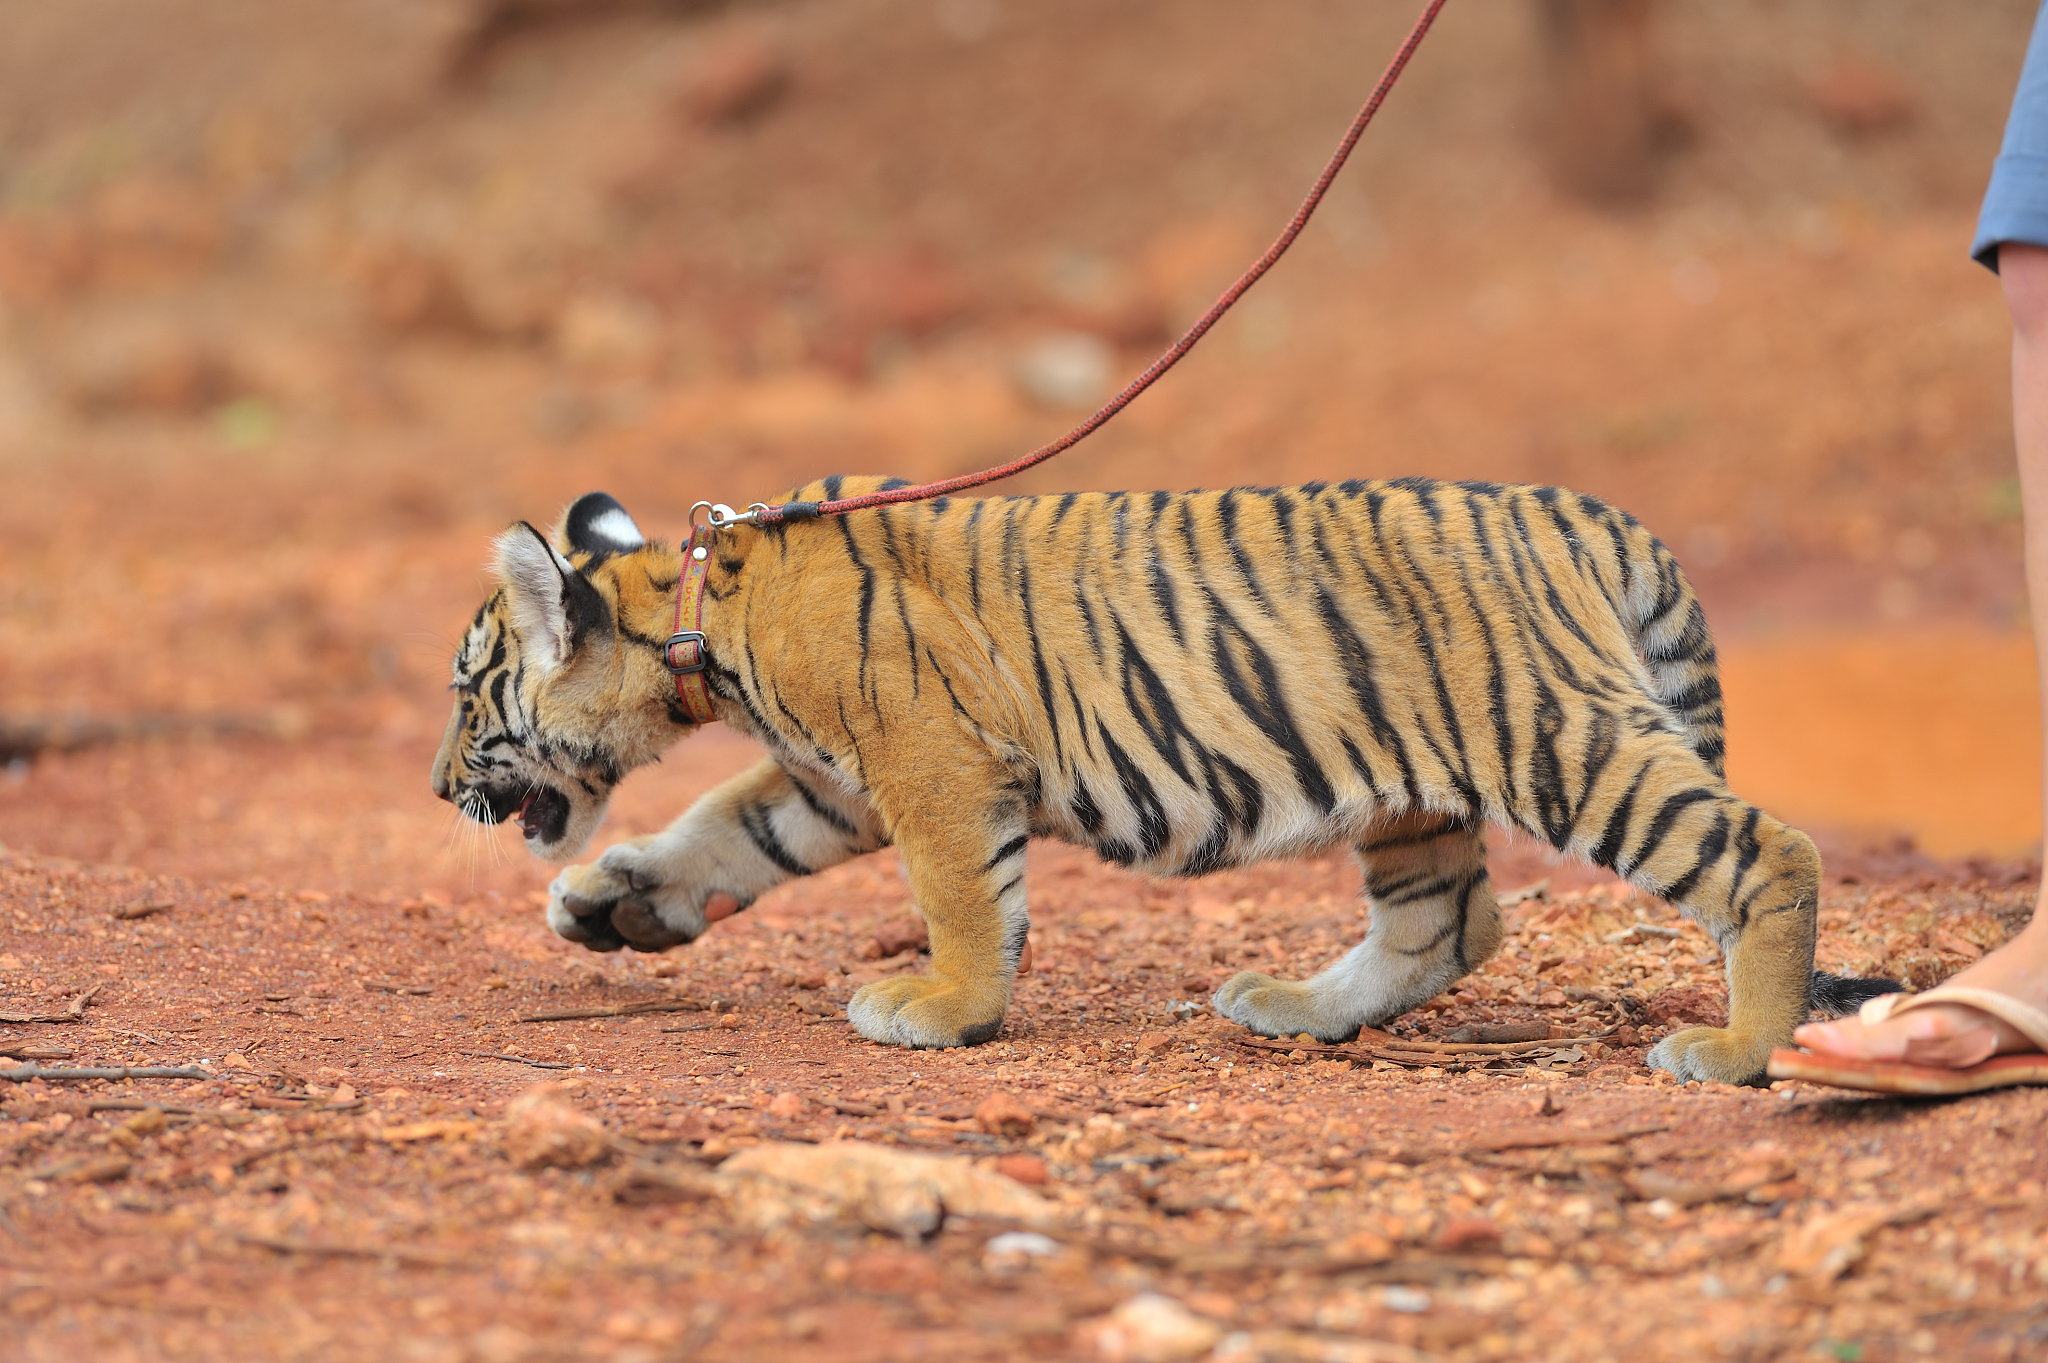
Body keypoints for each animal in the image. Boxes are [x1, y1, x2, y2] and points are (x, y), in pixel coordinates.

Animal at [431, 475, 1893, 1085]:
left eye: (464, 690)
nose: (440, 788)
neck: (690, 617)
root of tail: (1594, 514)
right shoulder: (830, 780)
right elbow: (723, 828)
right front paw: (614, 901)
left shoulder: (928, 758)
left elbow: (961, 898)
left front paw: (944, 1010)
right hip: (1417, 791)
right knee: (1449, 924)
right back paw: (1298, 1008)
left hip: (1558, 737)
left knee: (1761, 851)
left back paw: (1741, 1050)